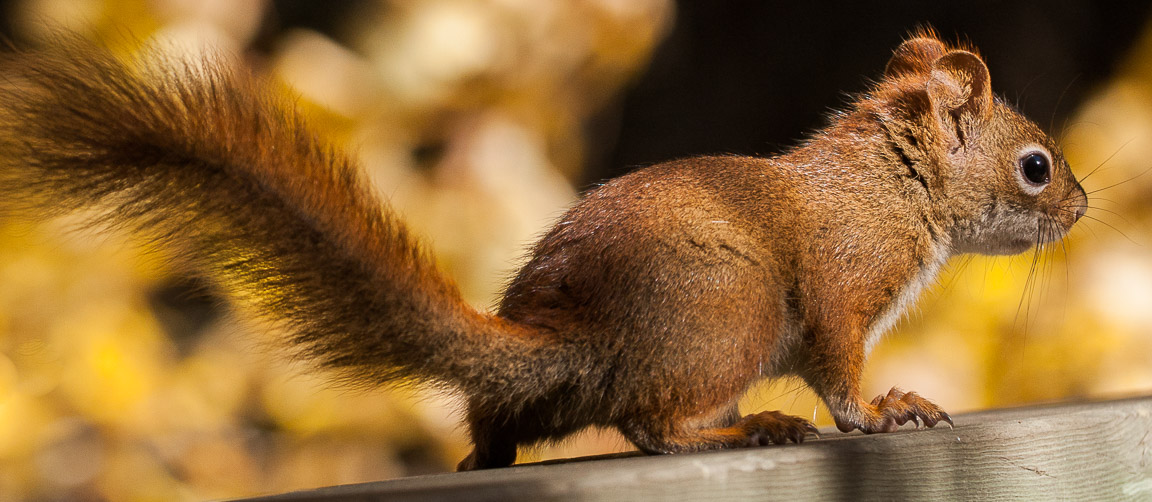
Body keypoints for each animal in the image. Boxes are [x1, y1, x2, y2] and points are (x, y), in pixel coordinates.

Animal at [0, 31, 1082, 469]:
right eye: (1035, 167)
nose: (1079, 205)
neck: (890, 185)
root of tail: (577, 342)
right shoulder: (843, 290)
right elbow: (843, 375)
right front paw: (887, 410)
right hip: (728, 315)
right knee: (652, 426)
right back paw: (752, 428)